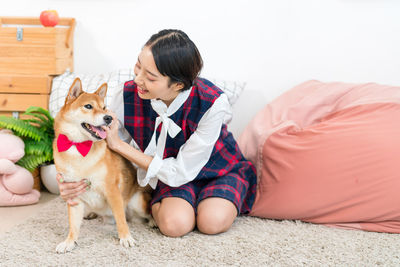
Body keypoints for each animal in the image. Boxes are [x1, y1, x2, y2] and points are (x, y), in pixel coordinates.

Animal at [53, 78, 153, 254]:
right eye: (88, 106)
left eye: (104, 107)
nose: (108, 118)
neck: (78, 148)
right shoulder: (74, 196)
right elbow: (73, 226)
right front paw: (69, 242)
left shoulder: (112, 190)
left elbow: (121, 219)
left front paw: (126, 237)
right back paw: (91, 214)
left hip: (137, 202)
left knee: (142, 213)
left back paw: (153, 221)